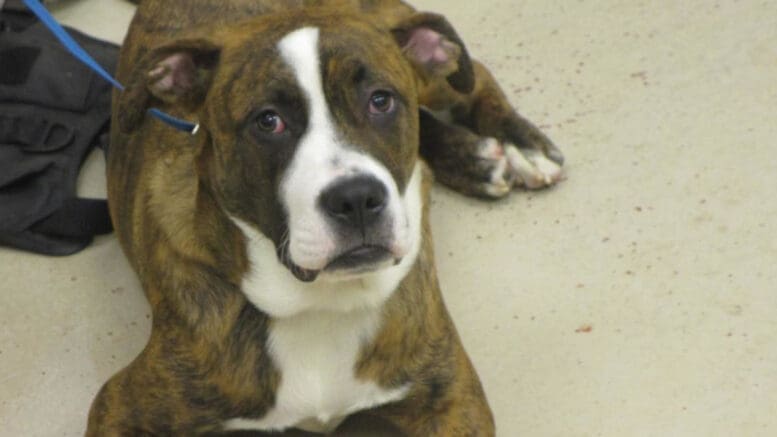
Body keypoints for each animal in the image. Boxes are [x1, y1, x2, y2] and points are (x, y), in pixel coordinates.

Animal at [86, 1, 564, 434]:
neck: (321, 303)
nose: (356, 199)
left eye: (380, 101)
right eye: (268, 121)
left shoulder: (452, 397)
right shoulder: (119, 406)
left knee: (472, 73)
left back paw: (519, 146)